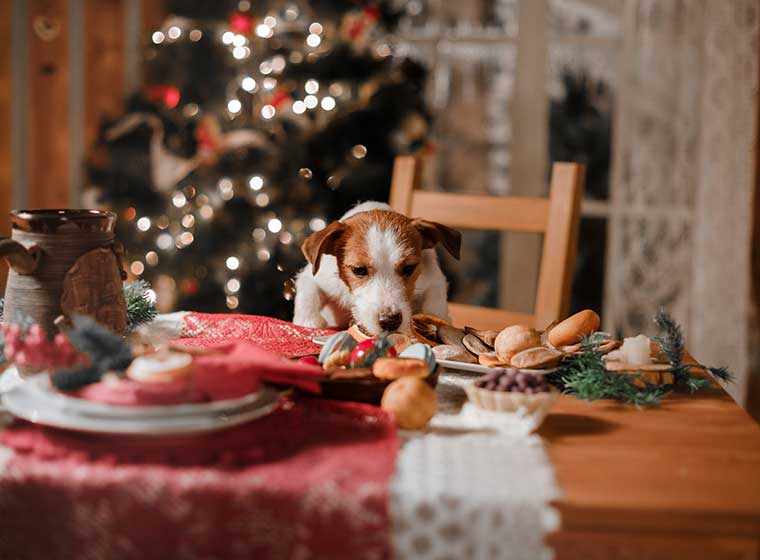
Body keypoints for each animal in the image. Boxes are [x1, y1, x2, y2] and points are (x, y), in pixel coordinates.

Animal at [290, 203, 458, 340]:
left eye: (409, 268)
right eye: (359, 270)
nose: (390, 322)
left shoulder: (434, 280)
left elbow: (435, 304)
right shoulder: (317, 277)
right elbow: (308, 292)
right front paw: (309, 321)